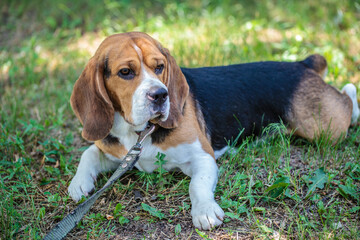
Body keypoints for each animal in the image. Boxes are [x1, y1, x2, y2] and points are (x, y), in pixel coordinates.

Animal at [67, 31, 358, 229]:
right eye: (125, 72)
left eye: (160, 67)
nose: (160, 95)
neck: (140, 133)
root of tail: (301, 64)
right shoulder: (118, 152)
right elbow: (89, 153)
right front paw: (79, 183)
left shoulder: (202, 156)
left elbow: (197, 185)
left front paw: (204, 211)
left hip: (324, 127)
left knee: (348, 98)